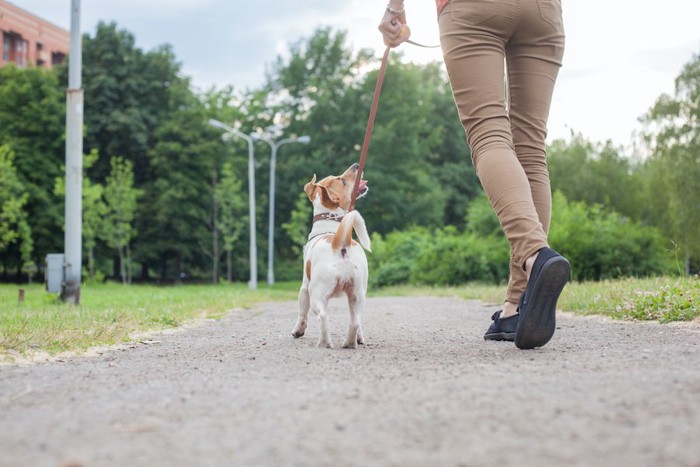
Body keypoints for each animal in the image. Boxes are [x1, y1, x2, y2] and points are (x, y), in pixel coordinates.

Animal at [292, 163, 372, 350]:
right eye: (342, 180)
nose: (356, 165)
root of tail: (340, 243)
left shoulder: (304, 287)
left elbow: (302, 312)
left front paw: (298, 331)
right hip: (358, 296)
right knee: (355, 321)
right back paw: (349, 343)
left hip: (317, 294)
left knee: (323, 316)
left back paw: (324, 342)